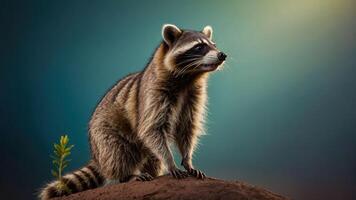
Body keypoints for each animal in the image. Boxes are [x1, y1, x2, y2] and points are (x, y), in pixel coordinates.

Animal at [39, 24, 227, 199]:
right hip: (104, 134)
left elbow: (187, 128)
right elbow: (151, 129)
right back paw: (127, 176)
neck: (188, 78)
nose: (222, 55)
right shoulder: (154, 94)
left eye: (214, 45)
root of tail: (96, 155)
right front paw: (170, 162)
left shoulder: (193, 97)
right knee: (117, 153)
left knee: (153, 160)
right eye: (199, 47)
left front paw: (188, 161)